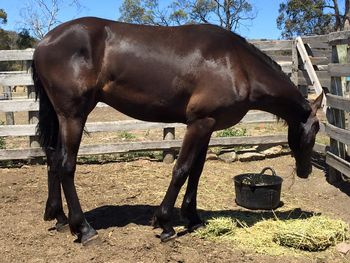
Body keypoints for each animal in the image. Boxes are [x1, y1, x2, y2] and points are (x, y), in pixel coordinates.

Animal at [32, 17, 322, 245]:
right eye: (317, 128)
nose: (305, 171)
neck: (237, 65)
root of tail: (44, 43)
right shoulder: (199, 123)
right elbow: (181, 170)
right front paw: (165, 224)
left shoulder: (208, 125)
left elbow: (196, 171)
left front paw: (193, 218)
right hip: (73, 116)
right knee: (66, 165)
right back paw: (84, 229)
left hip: (61, 117)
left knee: (53, 160)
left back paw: (59, 217)